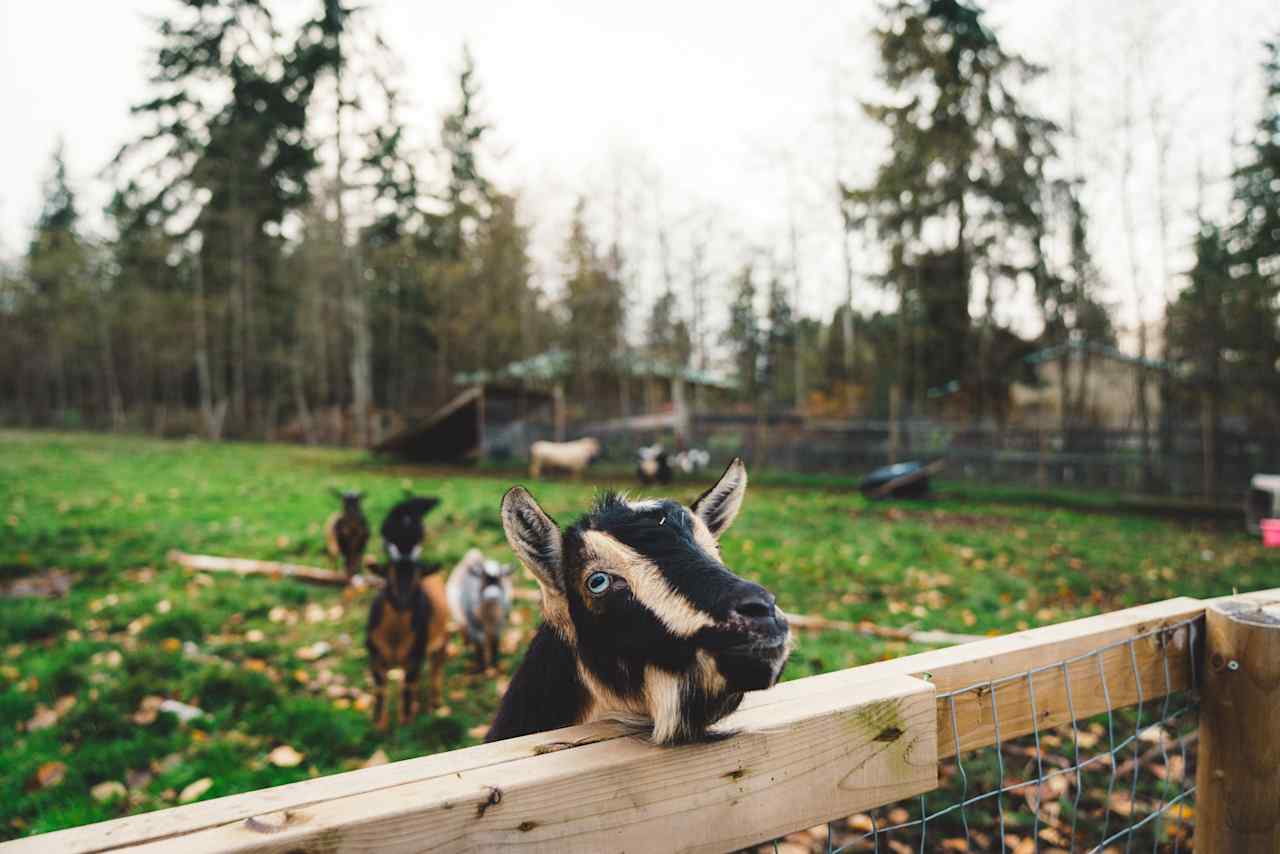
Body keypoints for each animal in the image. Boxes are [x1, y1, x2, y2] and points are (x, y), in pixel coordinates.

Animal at [366, 496, 450, 732]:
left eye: (417, 576)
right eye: (387, 576)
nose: (403, 603)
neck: (394, 638)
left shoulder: (414, 657)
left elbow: (407, 688)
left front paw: (406, 722)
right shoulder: (375, 657)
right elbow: (380, 689)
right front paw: (379, 725)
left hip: (442, 639)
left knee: (436, 669)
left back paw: (435, 703)